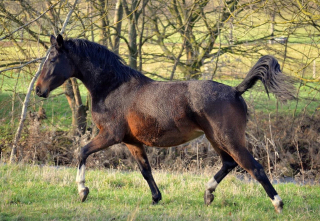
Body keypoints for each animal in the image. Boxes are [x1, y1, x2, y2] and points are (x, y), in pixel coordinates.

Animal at [35, 34, 296, 212]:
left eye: (52, 58)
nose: (38, 90)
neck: (113, 87)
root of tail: (235, 90)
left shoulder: (110, 135)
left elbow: (82, 152)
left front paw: (82, 191)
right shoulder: (132, 142)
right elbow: (145, 170)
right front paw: (156, 198)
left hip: (229, 139)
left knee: (255, 167)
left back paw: (278, 204)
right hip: (215, 139)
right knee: (229, 164)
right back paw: (208, 194)